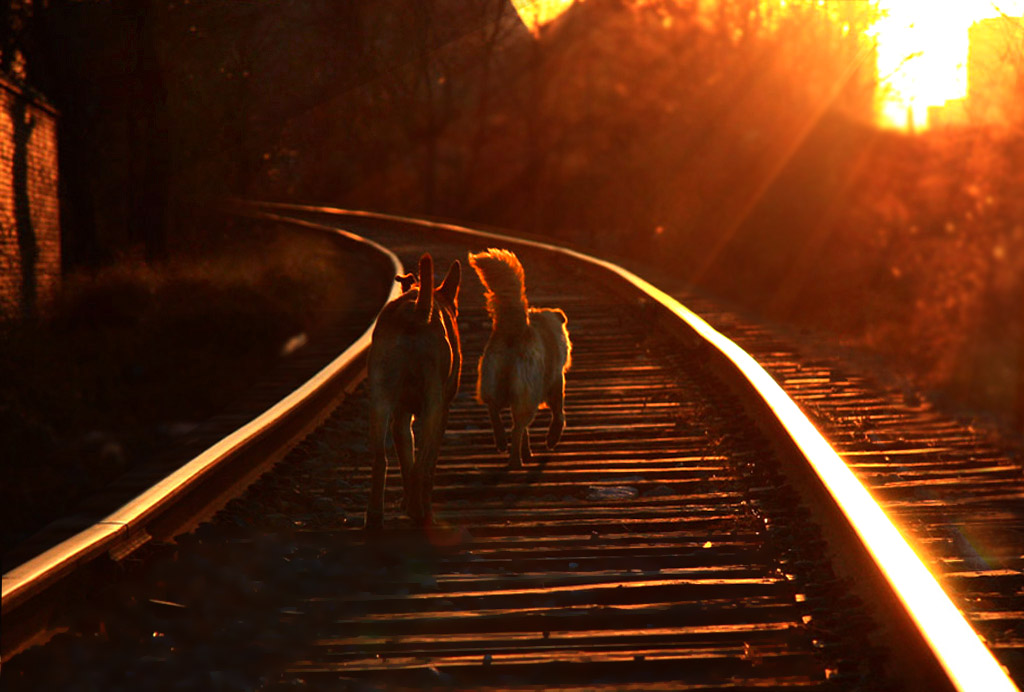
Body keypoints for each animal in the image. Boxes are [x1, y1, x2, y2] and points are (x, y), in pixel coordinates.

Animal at [366, 253, 462, 528]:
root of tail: (417, 312)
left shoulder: (400, 415)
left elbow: (405, 459)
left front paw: (407, 500)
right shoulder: (442, 412)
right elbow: (425, 465)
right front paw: (416, 503)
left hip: (379, 401)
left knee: (381, 458)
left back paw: (375, 515)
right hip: (433, 406)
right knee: (422, 464)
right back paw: (421, 513)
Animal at [468, 248, 573, 470]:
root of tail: (515, 327)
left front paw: (528, 451)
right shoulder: (556, 381)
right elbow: (559, 414)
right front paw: (552, 439)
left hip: (494, 380)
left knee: (494, 410)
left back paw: (501, 441)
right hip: (527, 391)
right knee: (516, 428)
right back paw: (515, 460)